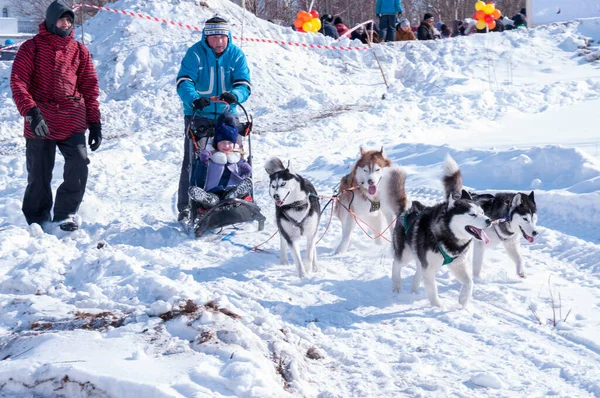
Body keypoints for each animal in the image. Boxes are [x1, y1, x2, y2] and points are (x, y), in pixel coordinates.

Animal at [394, 155, 492, 308]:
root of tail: (407, 210)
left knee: (417, 273)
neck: (449, 235)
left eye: (482, 212)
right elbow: (433, 290)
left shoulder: (458, 264)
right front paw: (437, 307)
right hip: (405, 254)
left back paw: (414, 291)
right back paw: (397, 287)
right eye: (472, 214)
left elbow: (469, 282)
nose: (489, 220)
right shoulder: (429, 268)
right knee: (396, 266)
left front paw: (463, 299)